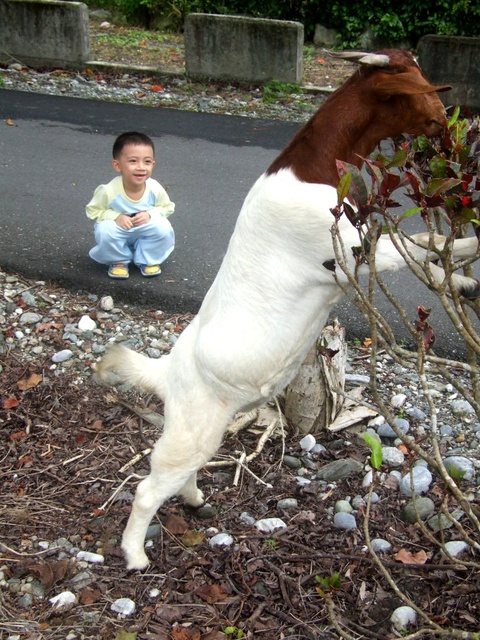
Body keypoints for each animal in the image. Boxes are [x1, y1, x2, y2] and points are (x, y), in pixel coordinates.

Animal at [96, 50, 480, 568]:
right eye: (418, 84)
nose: (446, 124)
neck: (313, 167)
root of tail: (165, 371)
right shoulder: (348, 257)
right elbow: (424, 247)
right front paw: (465, 266)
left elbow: (425, 243)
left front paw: (463, 276)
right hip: (189, 431)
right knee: (147, 490)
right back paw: (135, 555)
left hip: (204, 430)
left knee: (184, 474)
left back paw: (196, 501)